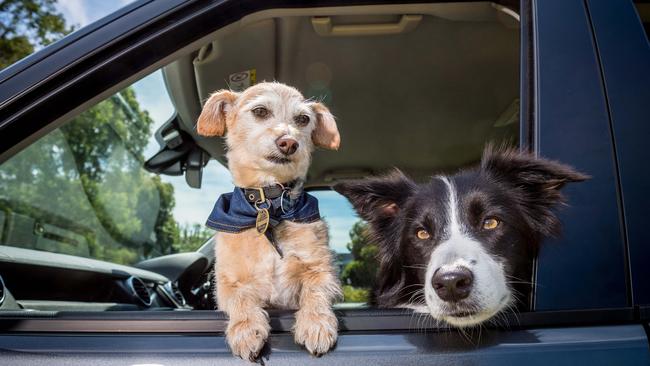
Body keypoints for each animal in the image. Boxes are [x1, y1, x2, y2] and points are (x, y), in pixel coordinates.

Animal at [195, 81, 342, 358]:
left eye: (303, 119)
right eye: (260, 111)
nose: (289, 142)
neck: (269, 205)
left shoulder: (319, 267)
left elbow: (315, 290)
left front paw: (316, 323)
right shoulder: (228, 281)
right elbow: (240, 298)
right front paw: (246, 329)